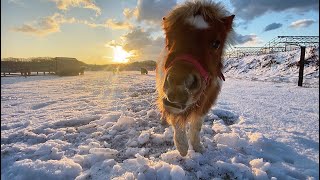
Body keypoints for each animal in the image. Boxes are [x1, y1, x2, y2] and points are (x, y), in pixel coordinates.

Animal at [156, 1, 234, 156]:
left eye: (216, 43)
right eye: (169, 39)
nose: (178, 84)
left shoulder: (206, 102)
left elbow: (196, 125)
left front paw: (198, 147)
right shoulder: (170, 102)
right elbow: (177, 122)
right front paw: (182, 147)